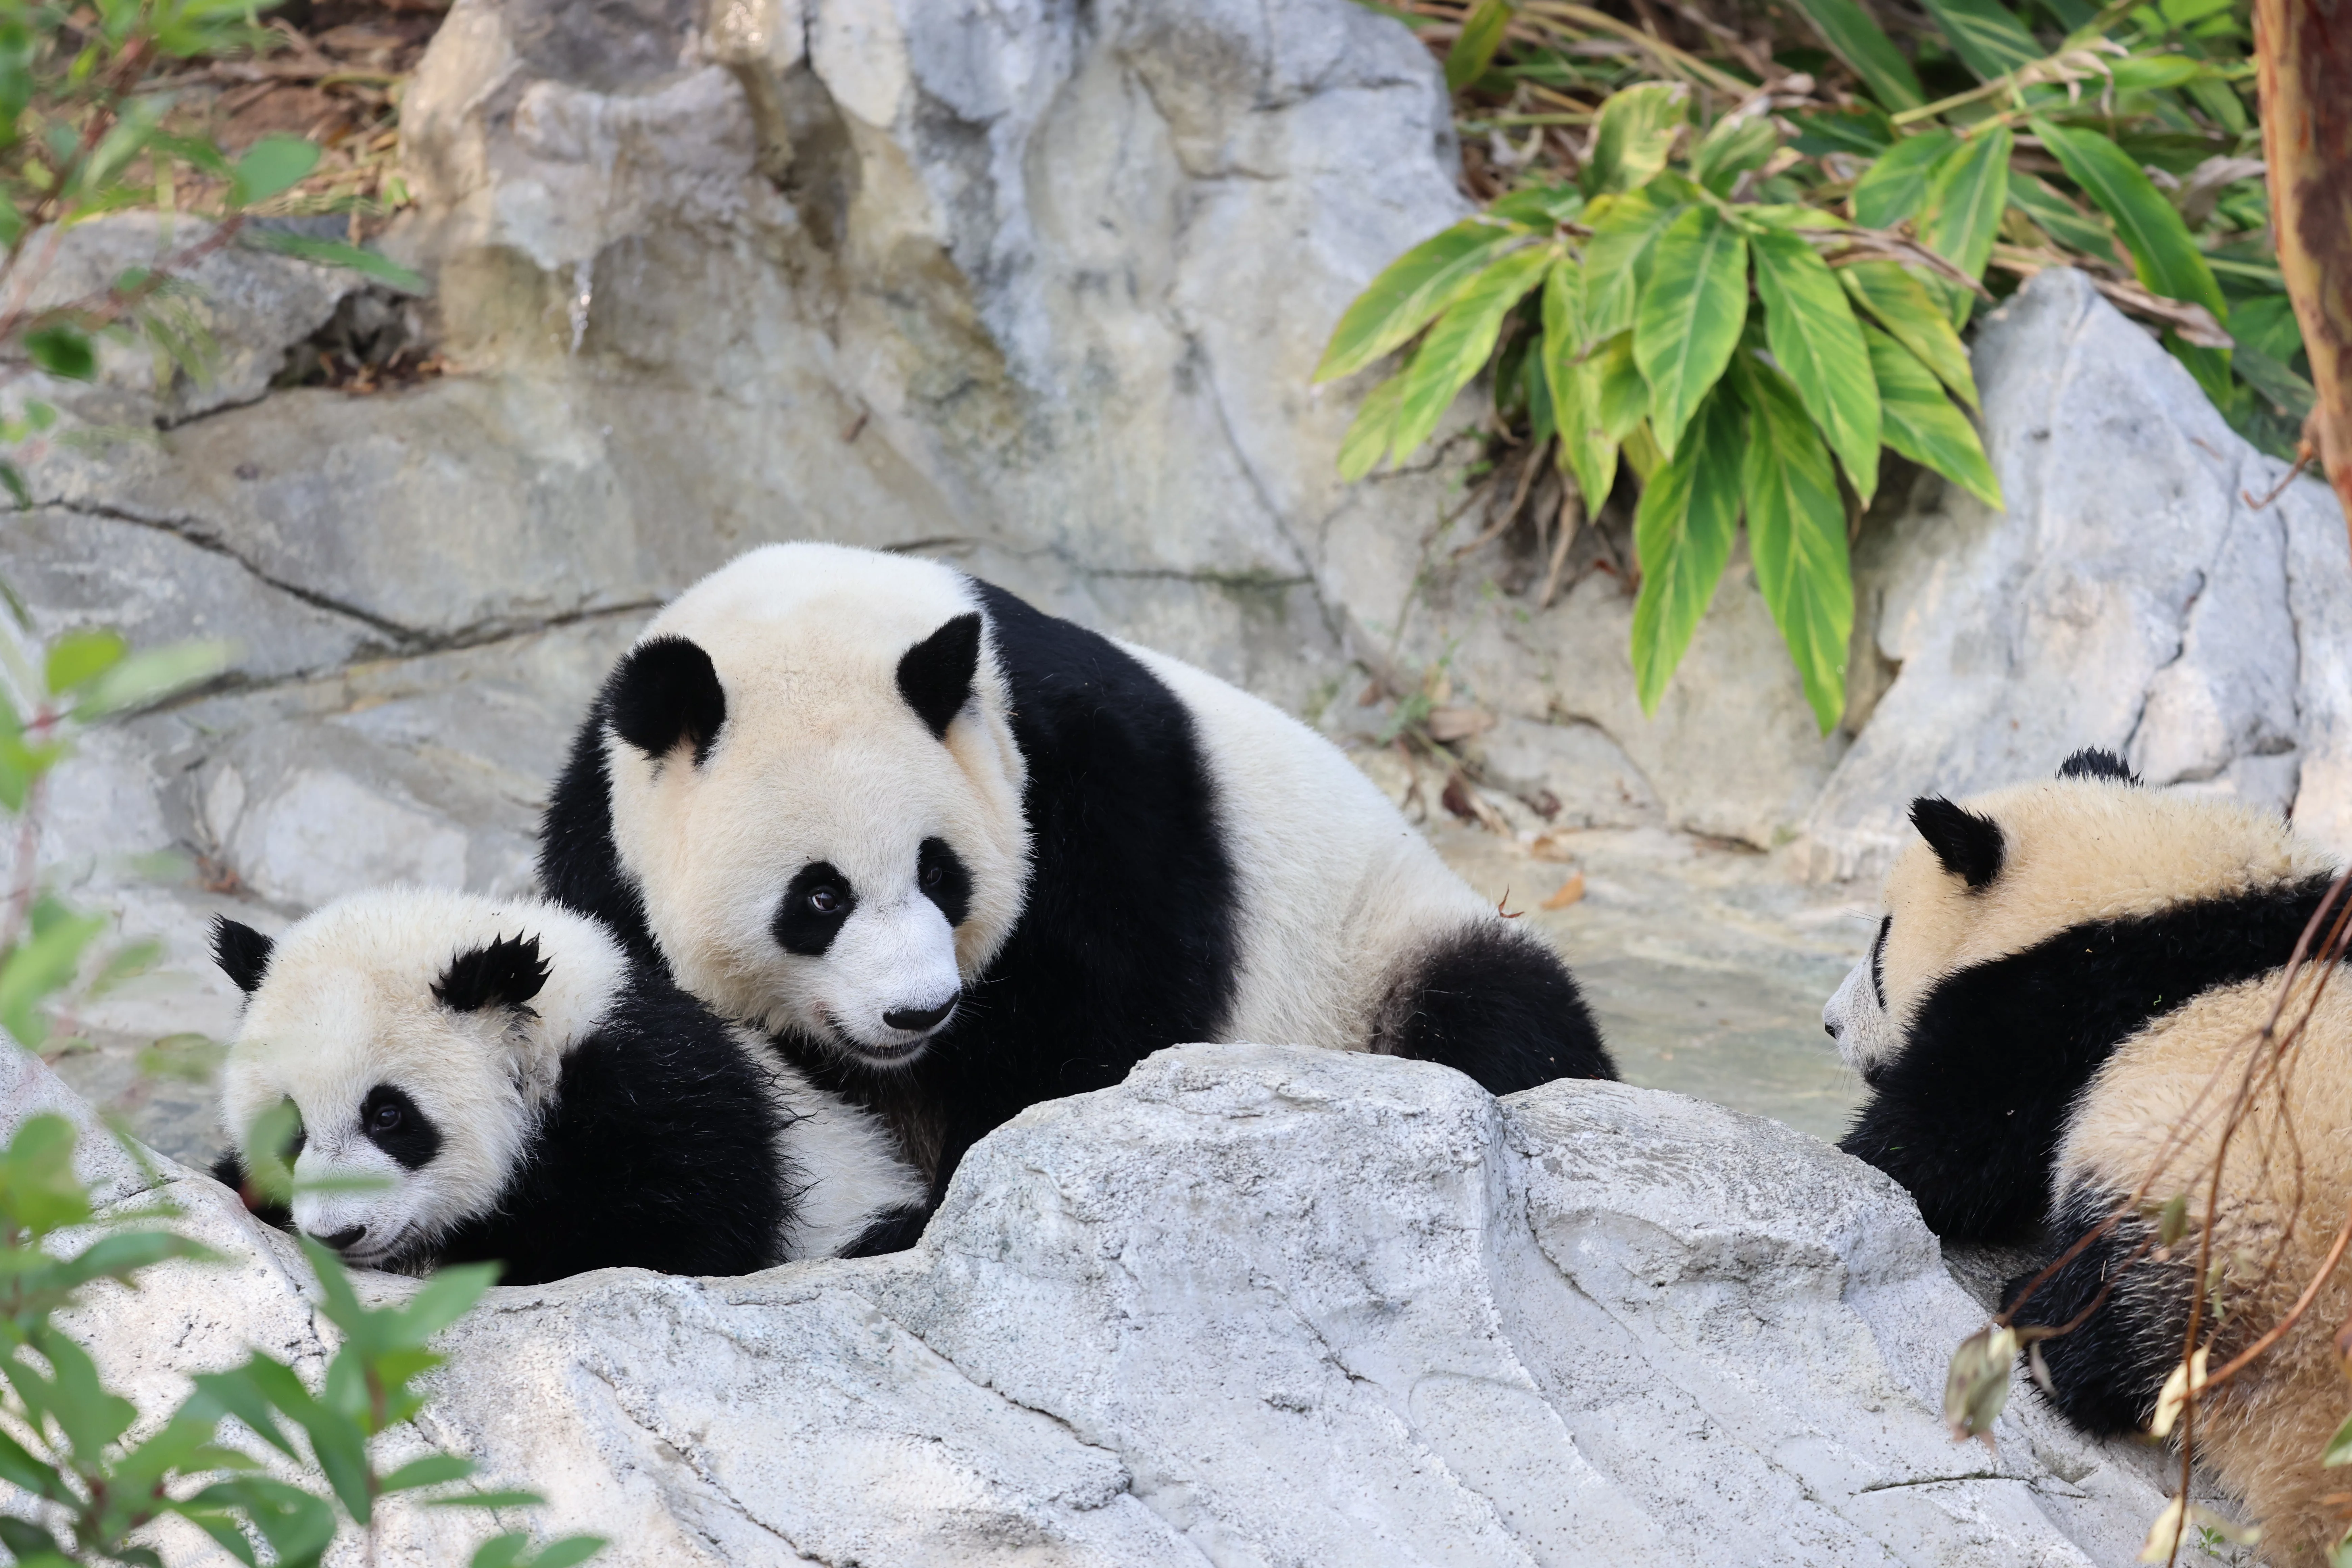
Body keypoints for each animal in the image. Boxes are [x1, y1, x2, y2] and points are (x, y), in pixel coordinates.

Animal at [537, 541, 1614, 1215]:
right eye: (820, 897)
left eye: (941, 872)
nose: (916, 1012)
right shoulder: (606, 843)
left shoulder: (1083, 788)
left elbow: (1098, 1025)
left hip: (1378, 946)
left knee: (1495, 1015)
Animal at [1823, 748, 2349, 1565]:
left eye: (1882, 942)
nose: (1830, 1025)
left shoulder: (2057, 1007)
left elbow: (1953, 1150)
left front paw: (1860, 1155)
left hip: (2226, 1222)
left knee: (2125, 1315)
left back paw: (2038, 1323)